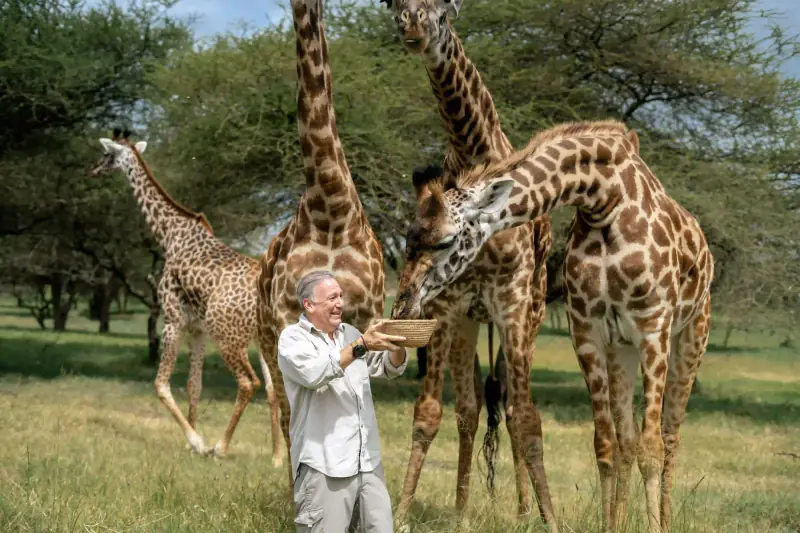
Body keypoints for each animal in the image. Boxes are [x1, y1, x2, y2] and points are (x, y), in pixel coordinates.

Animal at [90, 129, 283, 462]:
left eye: (106, 154)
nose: (94, 170)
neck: (170, 235)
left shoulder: (172, 319)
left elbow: (161, 384)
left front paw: (198, 442)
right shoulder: (197, 330)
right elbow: (194, 386)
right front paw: (191, 442)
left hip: (229, 336)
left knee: (249, 383)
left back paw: (221, 447)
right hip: (260, 340)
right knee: (274, 388)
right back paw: (278, 457)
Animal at [381, 0, 556, 526]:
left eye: (442, 13)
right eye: (395, 7)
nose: (413, 30)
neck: (475, 153)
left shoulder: (513, 303)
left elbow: (526, 417)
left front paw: (544, 517)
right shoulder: (446, 307)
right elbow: (431, 413)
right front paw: (401, 513)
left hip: (531, 315)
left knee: (508, 411)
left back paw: (521, 510)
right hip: (468, 323)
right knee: (470, 408)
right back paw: (460, 513)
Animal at [392, 119, 714, 533]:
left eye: (446, 240)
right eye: (409, 237)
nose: (404, 301)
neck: (604, 199)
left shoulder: (652, 327)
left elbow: (652, 447)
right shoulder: (588, 332)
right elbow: (606, 445)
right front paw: (611, 526)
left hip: (691, 335)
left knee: (670, 437)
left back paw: (667, 519)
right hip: (622, 349)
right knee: (627, 439)